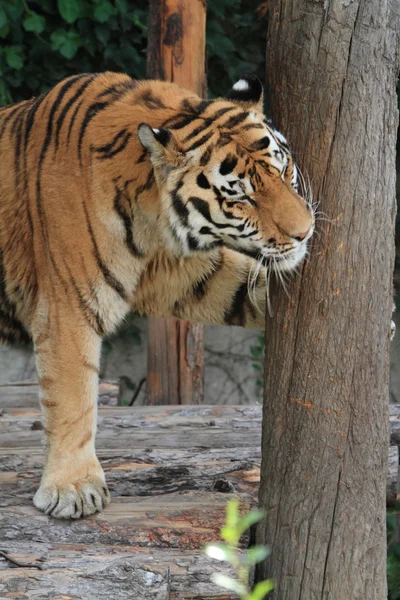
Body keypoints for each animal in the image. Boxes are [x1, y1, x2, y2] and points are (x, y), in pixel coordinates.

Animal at [0, 71, 312, 520]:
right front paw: (73, 488)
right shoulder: (68, 305)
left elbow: (240, 284)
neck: (149, 219)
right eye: (239, 195)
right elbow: (73, 396)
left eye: (284, 170)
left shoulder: (181, 270)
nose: (305, 232)